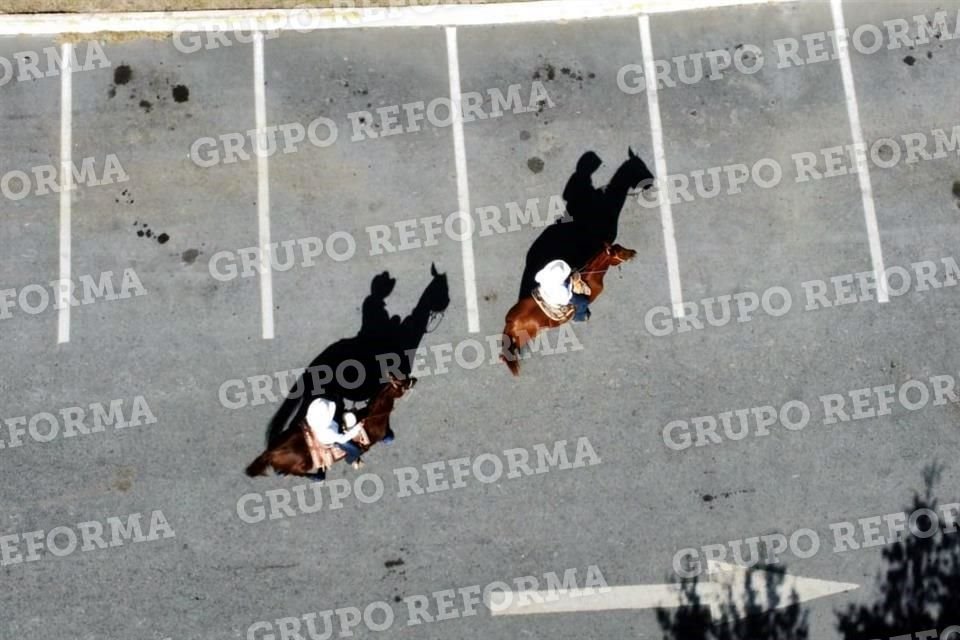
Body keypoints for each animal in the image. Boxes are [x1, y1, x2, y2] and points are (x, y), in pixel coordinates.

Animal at [246, 376, 414, 480]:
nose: (414, 379)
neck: (373, 418)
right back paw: (316, 476)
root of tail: (271, 452)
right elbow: (386, 438)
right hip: (304, 464)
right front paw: (357, 463)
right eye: (402, 385)